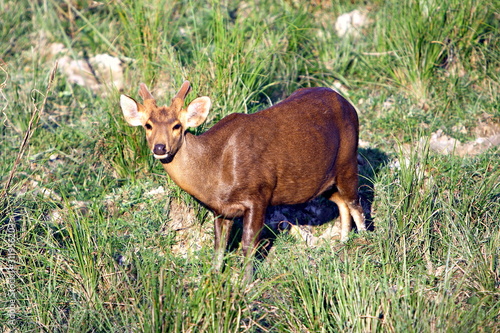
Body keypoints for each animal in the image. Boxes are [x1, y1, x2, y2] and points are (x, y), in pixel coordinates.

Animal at [119, 81, 366, 280]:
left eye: (176, 126)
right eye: (148, 125)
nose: (160, 148)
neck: (216, 170)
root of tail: (347, 103)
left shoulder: (258, 195)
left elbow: (249, 245)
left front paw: (245, 283)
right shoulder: (220, 209)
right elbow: (219, 246)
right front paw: (213, 277)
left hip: (348, 161)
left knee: (356, 203)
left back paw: (364, 241)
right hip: (323, 180)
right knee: (342, 202)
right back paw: (343, 242)